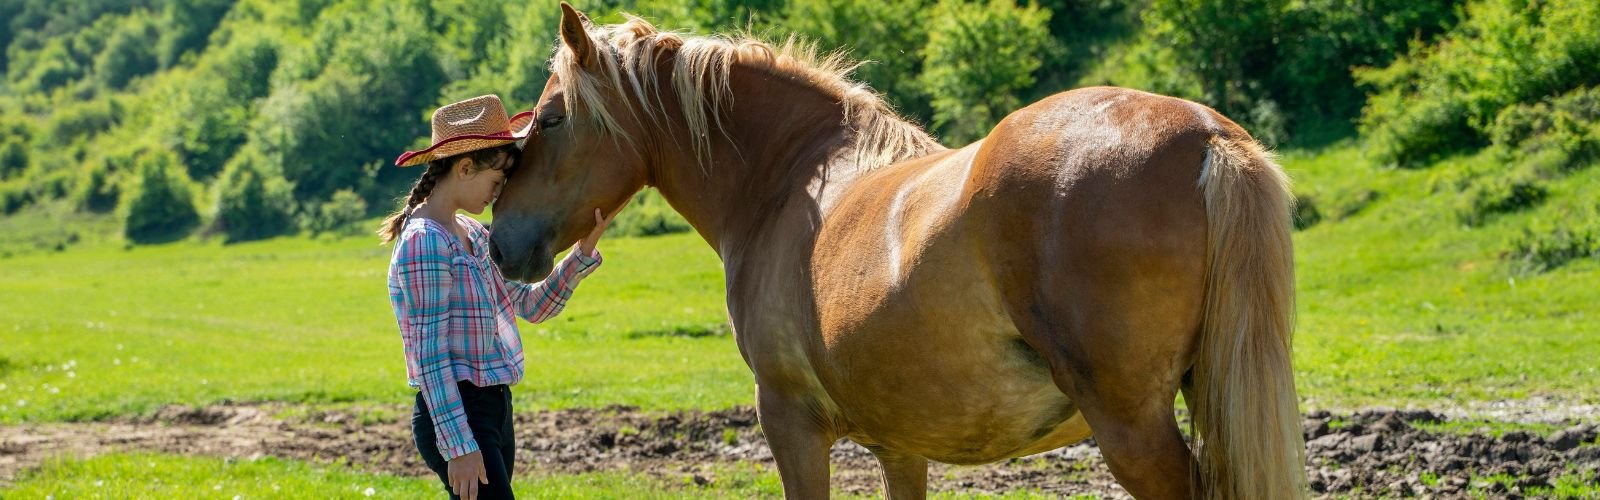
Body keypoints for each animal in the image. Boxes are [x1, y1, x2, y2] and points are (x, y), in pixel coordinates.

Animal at [489, 4, 1305, 498]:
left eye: (551, 117)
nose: (500, 242)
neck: (785, 177)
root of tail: (1205, 134)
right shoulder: (901, 445)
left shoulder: (791, 425)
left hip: (1132, 427)